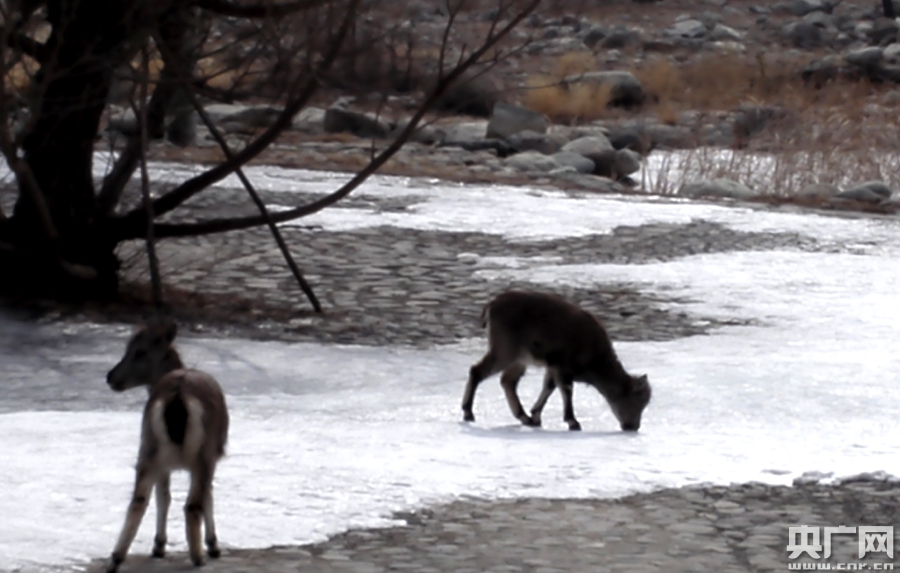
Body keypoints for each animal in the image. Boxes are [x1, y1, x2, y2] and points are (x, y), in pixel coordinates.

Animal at [105, 319, 229, 573]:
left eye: (139, 351)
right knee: (193, 504)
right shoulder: (213, 456)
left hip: (148, 446)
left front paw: (159, 546)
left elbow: (164, 496)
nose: (110, 377)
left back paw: (116, 558)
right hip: (204, 452)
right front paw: (213, 545)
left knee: (138, 501)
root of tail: (177, 397)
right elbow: (207, 496)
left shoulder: (164, 465)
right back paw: (198, 556)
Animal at [461, 290, 651, 432]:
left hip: (520, 358)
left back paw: (524, 417)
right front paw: (573, 422)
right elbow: (566, 390)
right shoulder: (562, 365)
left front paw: (536, 417)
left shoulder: (553, 365)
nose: (632, 427)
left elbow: (549, 386)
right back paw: (468, 413)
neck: (594, 360)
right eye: (638, 401)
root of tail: (490, 306)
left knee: (508, 380)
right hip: (505, 349)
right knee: (477, 370)